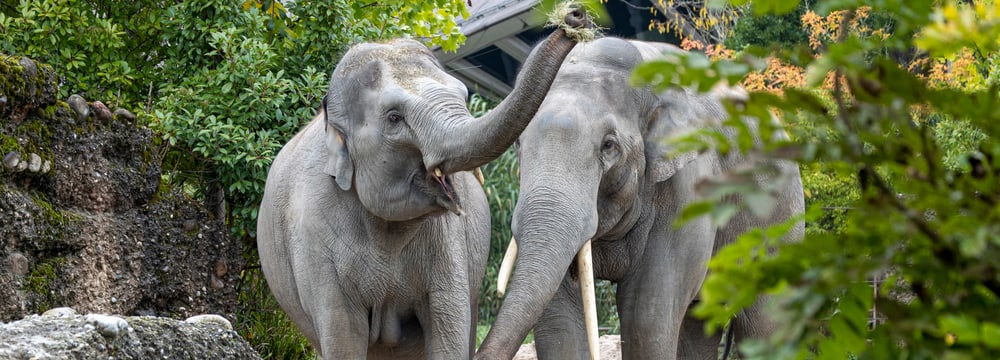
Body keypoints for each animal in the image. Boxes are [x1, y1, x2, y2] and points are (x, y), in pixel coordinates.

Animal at [258, 5, 592, 360]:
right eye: (394, 118)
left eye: (464, 95)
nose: (575, 16)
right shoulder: (315, 237)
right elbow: (343, 335)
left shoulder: (448, 243)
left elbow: (448, 323)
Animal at [474, 37, 804, 360]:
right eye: (518, 142)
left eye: (608, 145)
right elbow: (560, 321)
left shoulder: (686, 189)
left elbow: (646, 315)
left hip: (780, 217)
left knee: (766, 322)